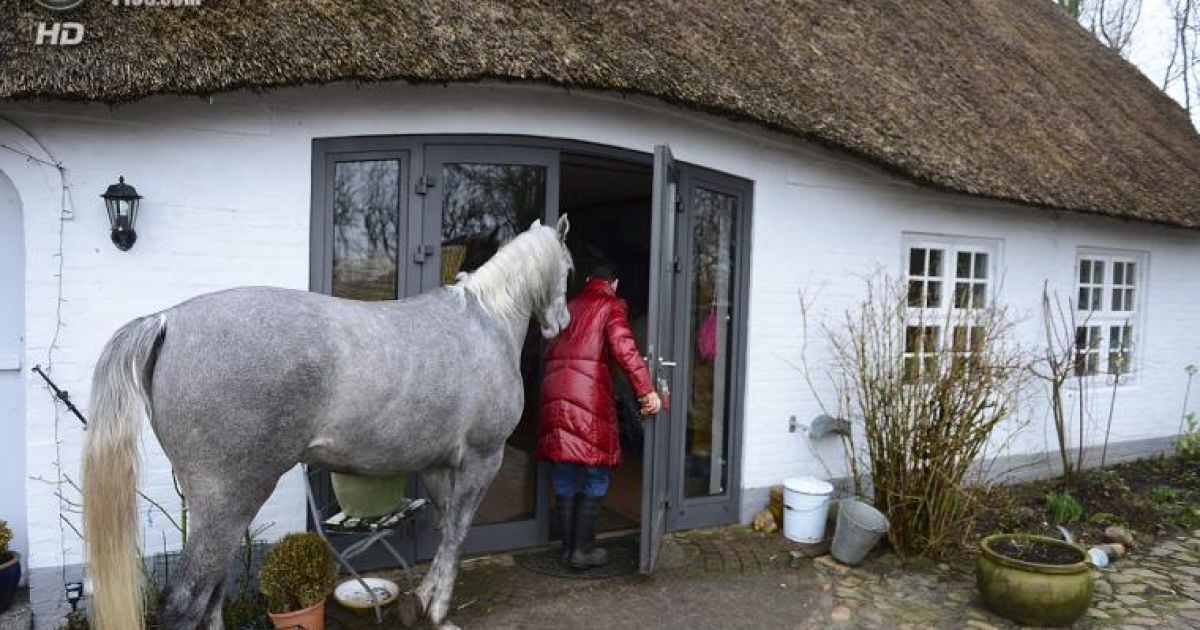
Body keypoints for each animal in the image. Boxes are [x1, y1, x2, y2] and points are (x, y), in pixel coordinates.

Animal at [82, 217, 573, 628]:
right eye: (569, 267)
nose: (560, 324)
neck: (486, 321)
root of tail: (167, 321)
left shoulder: (438, 465)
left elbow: (445, 525)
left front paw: (422, 599)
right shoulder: (482, 459)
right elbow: (457, 531)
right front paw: (438, 610)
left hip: (213, 507)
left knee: (213, 593)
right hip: (230, 500)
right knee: (189, 599)